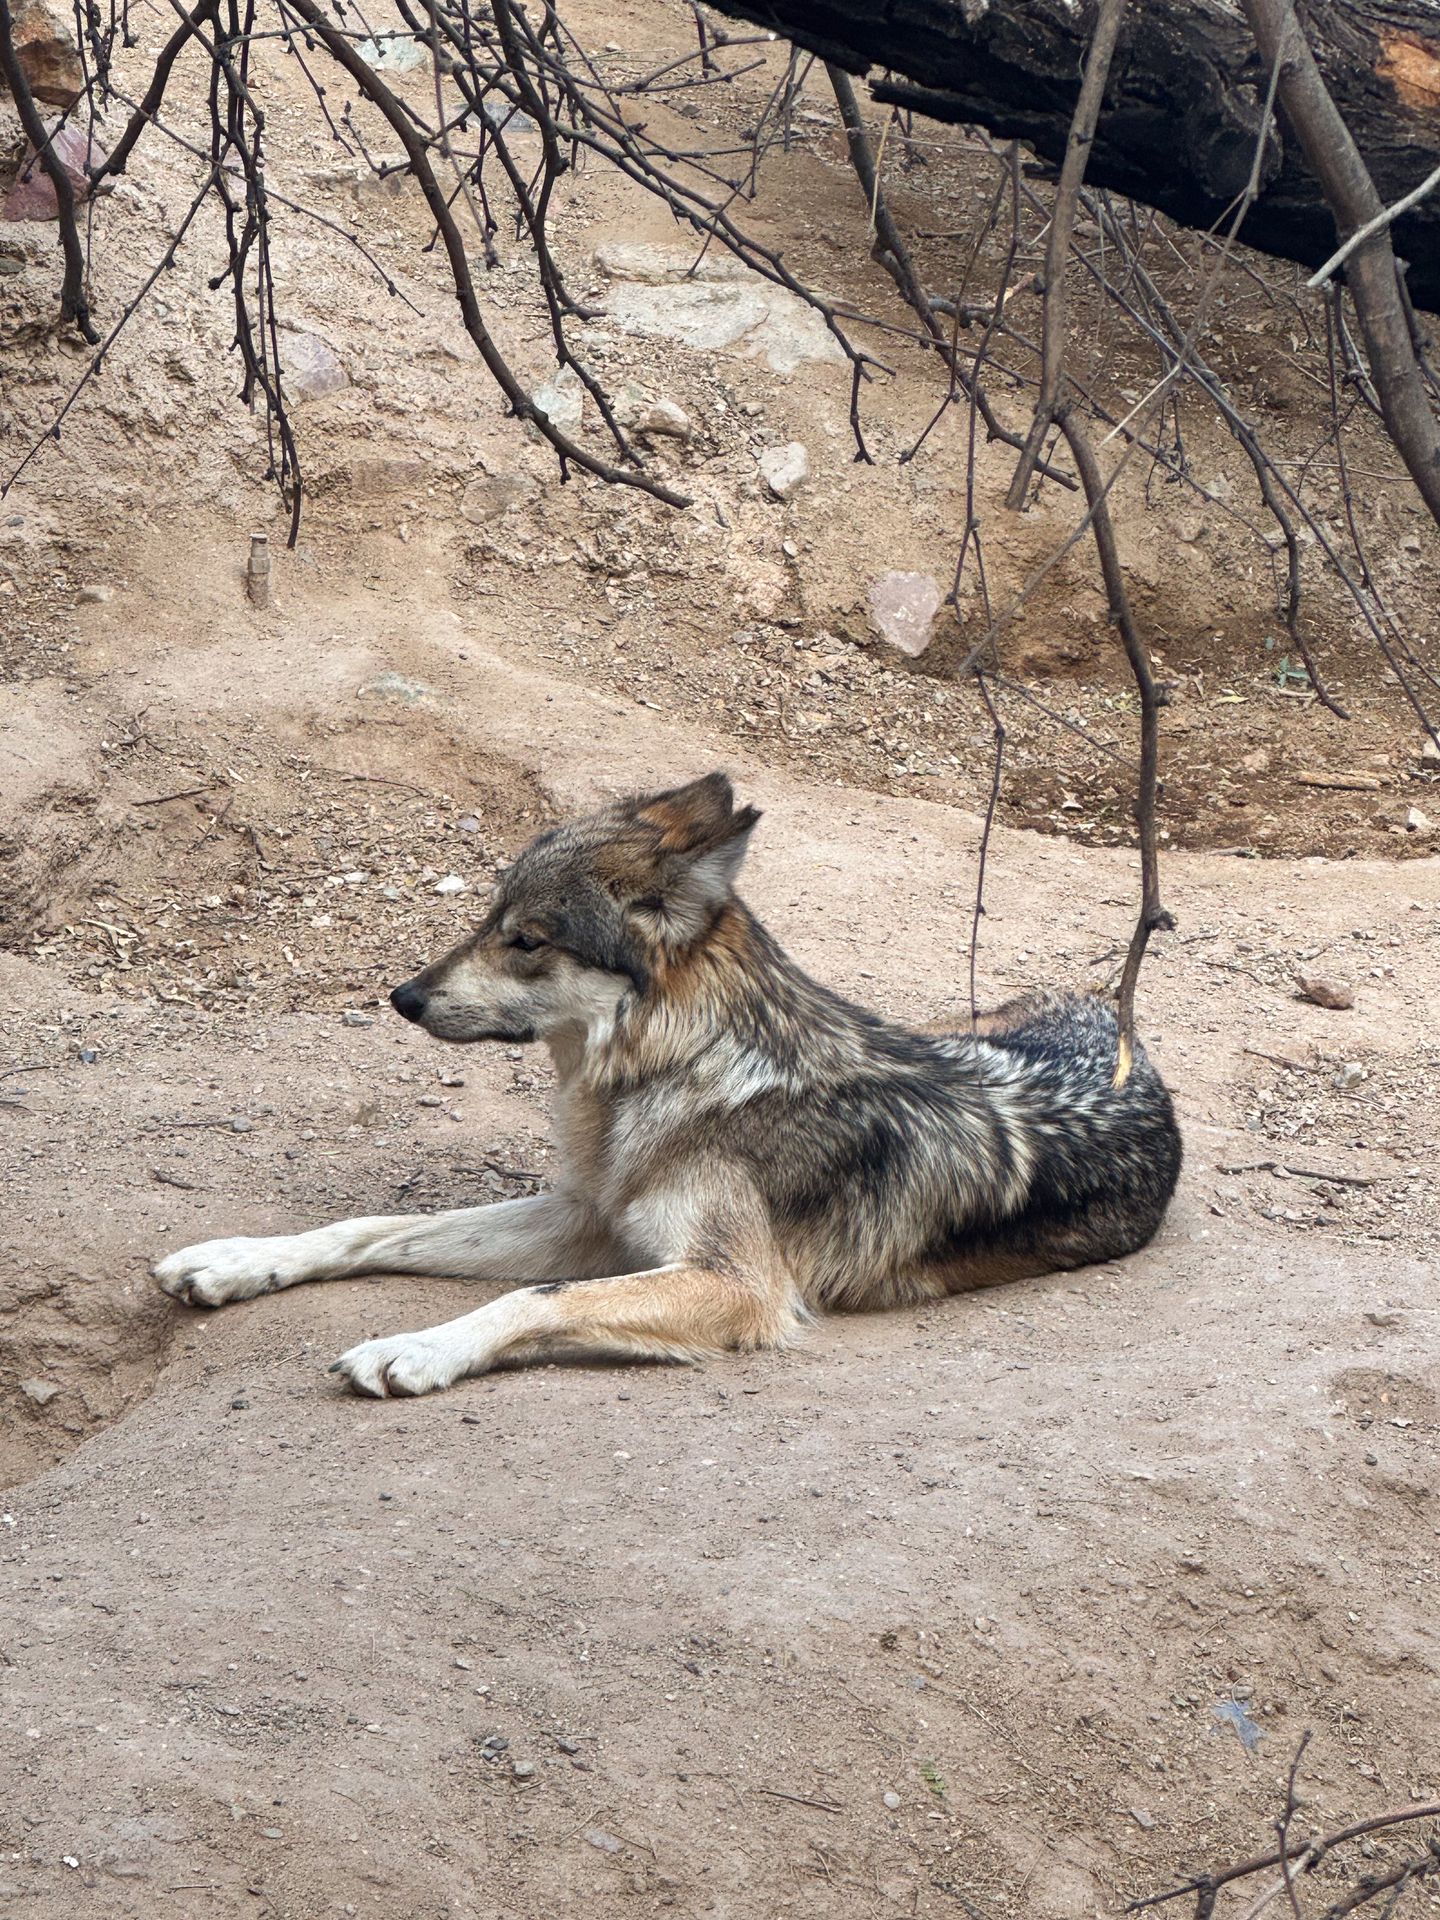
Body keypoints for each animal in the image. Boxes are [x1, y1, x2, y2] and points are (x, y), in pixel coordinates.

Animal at [155, 774, 1182, 1396]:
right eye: (488, 920)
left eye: (526, 940)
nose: (402, 997)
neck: (682, 1078)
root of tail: (1116, 1015)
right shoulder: (589, 1219)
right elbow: (374, 1227)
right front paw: (238, 1261)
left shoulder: (737, 1288)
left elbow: (537, 1300)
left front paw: (415, 1349)